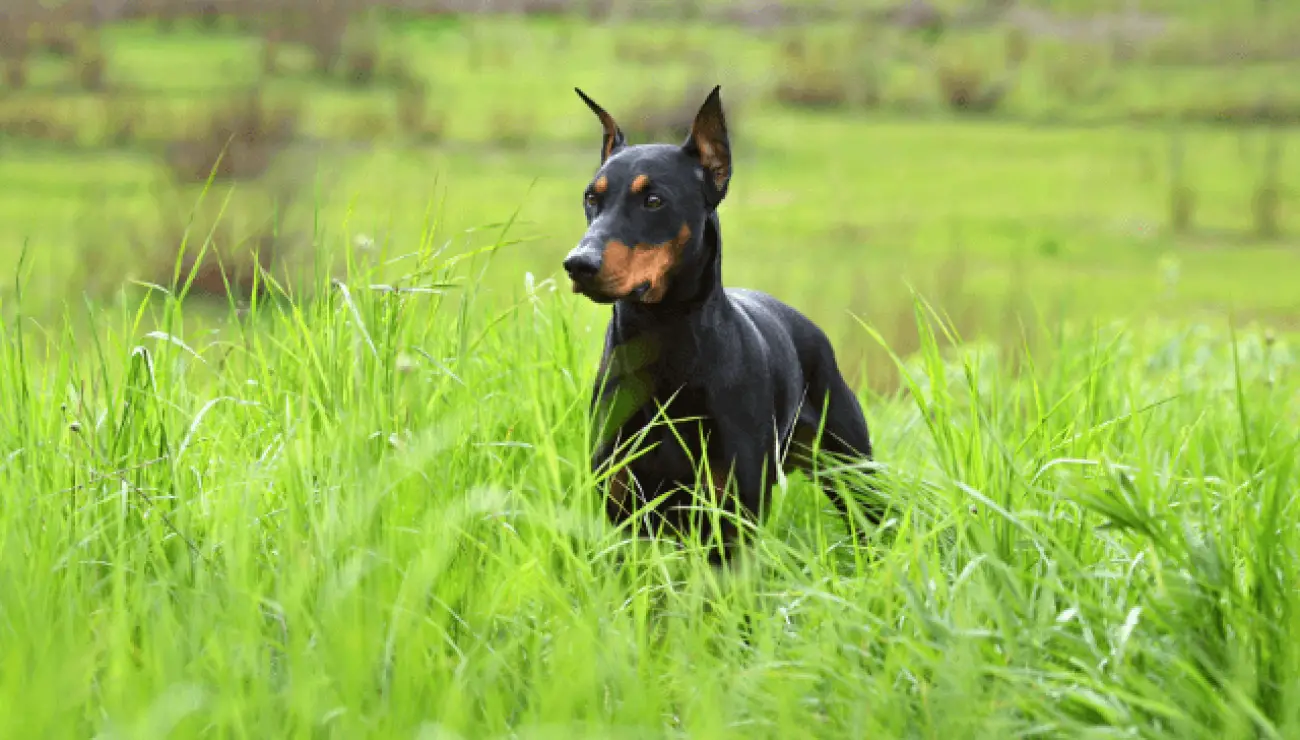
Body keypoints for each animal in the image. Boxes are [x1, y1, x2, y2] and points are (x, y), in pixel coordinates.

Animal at [564, 85, 878, 559]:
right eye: (590, 198)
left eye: (653, 200)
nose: (578, 264)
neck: (663, 340)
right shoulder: (625, 519)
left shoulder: (733, 519)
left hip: (854, 472)